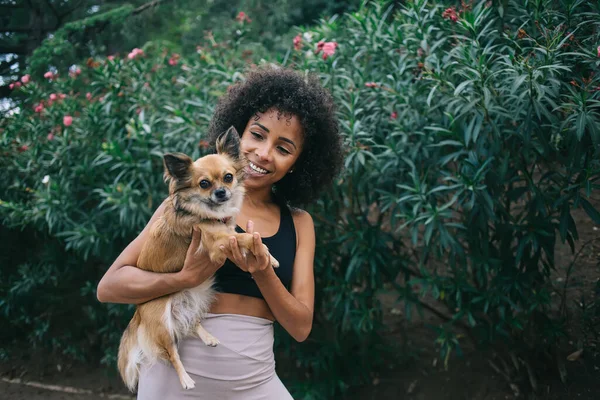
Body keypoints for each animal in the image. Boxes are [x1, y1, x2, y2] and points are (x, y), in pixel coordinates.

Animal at [118, 127, 280, 390]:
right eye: (204, 184)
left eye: (228, 177)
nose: (221, 192)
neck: (210, 213)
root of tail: (138, 314)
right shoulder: (217, 243)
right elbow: (246, 238)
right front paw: (264, 254)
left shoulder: (227, 233)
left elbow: (247, 238)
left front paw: (269, 258)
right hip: (163, 323)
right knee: (172, 352)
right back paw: (185, 380)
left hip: (194, 299)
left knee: (190, 324)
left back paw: (208, 337)